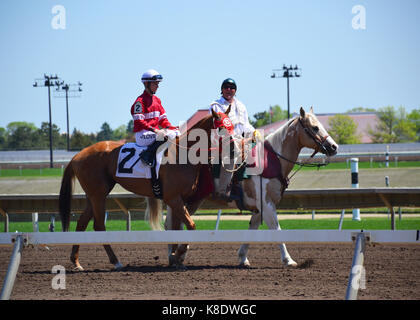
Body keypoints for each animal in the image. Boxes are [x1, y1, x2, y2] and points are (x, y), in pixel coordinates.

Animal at [57, 107, 235, 270]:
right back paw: (116, 261)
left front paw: (176, 259)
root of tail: (77, 156)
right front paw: (176, 256)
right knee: (99, 226)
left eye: (232, 125)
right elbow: (191, 226)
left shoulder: (180, 200)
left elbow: (177, 228)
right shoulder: (173, 198)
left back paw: (76, 262)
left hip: (93, 196)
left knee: (82, 223)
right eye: (221, 127)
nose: (234, 149)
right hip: (98, 195)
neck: (183, 154)